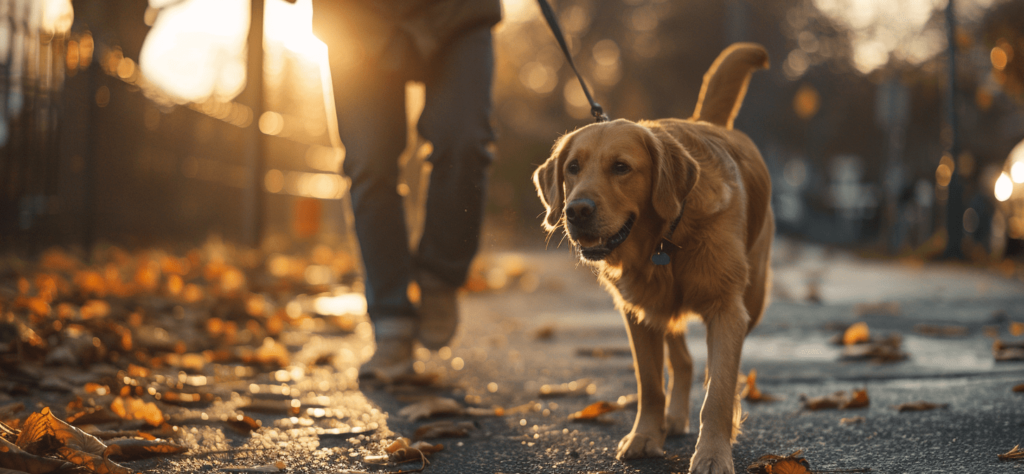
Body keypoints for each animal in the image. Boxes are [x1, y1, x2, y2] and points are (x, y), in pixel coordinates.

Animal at [536, 42, 770, 472]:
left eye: (621, 167)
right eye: (572, 167)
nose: (575, 211)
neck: (666, 238)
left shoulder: (727, 309)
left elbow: (718, 390)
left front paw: (713, 452)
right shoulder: (638, 312)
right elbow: (650, 383)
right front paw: (646, 435)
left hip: (753, 296)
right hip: (660, 305)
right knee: (684, 361)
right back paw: (672, 420)